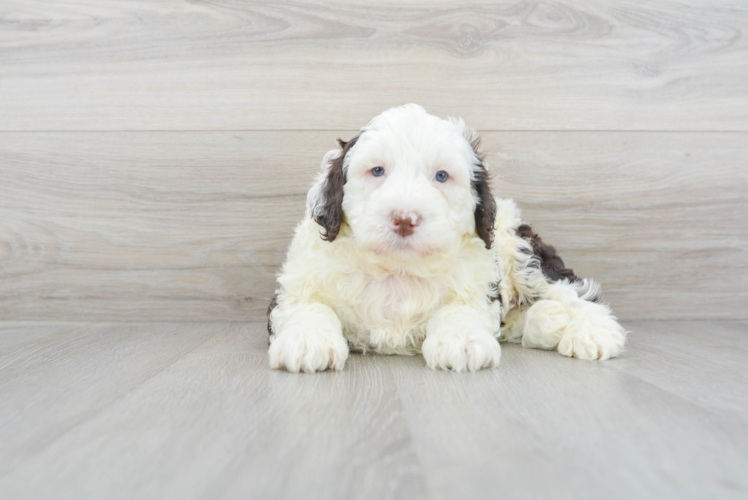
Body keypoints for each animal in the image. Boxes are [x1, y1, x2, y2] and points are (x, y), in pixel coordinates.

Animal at [268, 104, 624, 372]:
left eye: (441, 176)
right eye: (377, 171)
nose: (405, 218)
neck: (398, 269)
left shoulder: (478, 287)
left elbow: (458, 309)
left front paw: (462, 342)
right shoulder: (295, 286)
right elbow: (309, 307)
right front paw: (307, 342)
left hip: (521, 249)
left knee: (572, 292)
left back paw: (592, 332)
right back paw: (548, 321)